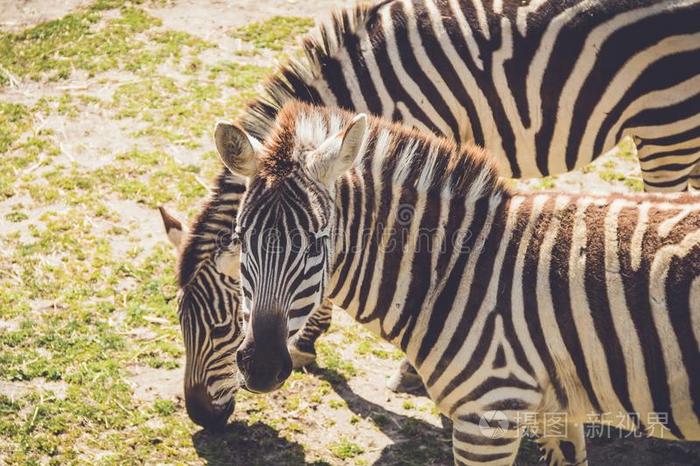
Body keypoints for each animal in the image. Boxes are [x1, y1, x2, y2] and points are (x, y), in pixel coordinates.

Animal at [217, 103, 700, 466]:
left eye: (318, 242)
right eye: (240, 237)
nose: (260, 367)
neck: (451, 272)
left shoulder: (488, 417)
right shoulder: (555, 409)